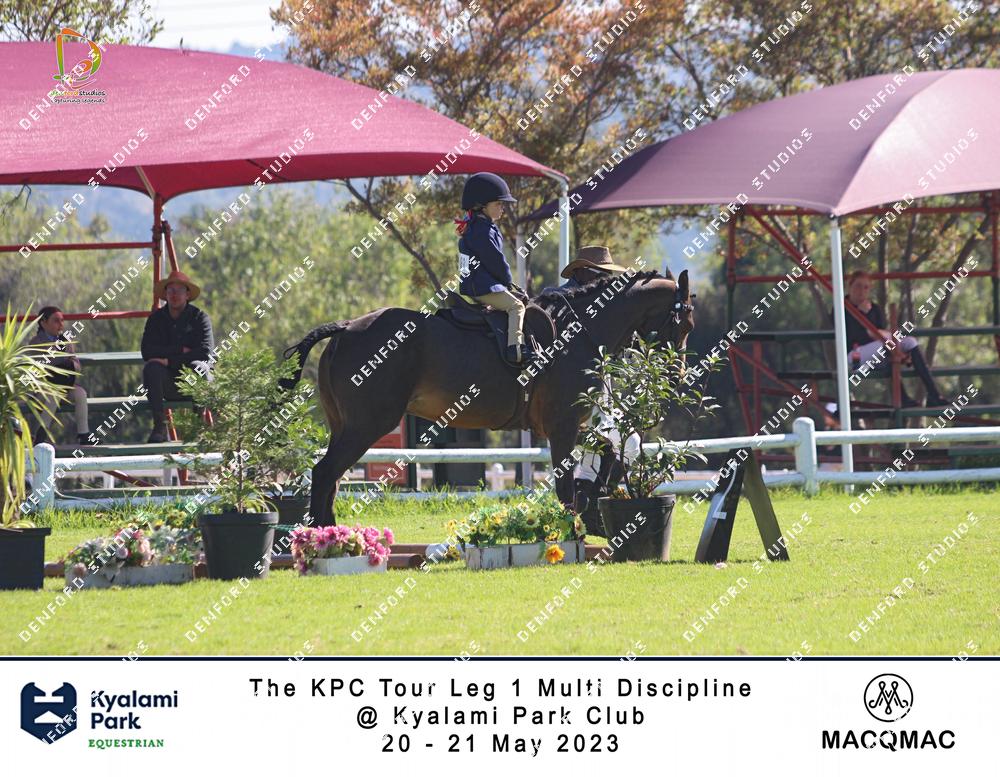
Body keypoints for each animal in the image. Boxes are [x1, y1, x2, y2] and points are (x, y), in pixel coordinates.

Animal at [281, 270, 694, 525]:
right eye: (684, 324)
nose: (675, 377)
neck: (580, 331)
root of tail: (347, 327)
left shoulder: (569, 425)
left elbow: (609, 450)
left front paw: (597, 492)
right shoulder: (561, 426)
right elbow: (564, 483)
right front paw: (572, 528)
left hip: (345, 426)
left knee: (331, 477)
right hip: (367, 425)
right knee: (326, 473)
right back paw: (324, 540)